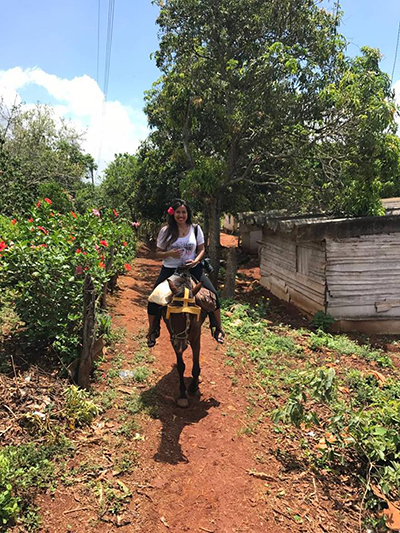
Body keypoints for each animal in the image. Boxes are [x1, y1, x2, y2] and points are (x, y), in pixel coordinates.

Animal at [163, 270, 206, 408]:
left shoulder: (196, 336)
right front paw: (182, 395)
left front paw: (193, 388)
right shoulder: (173, 337)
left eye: (191, 316)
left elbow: (196, 366)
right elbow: (181, 366)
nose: (181, 345)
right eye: (171, 314)